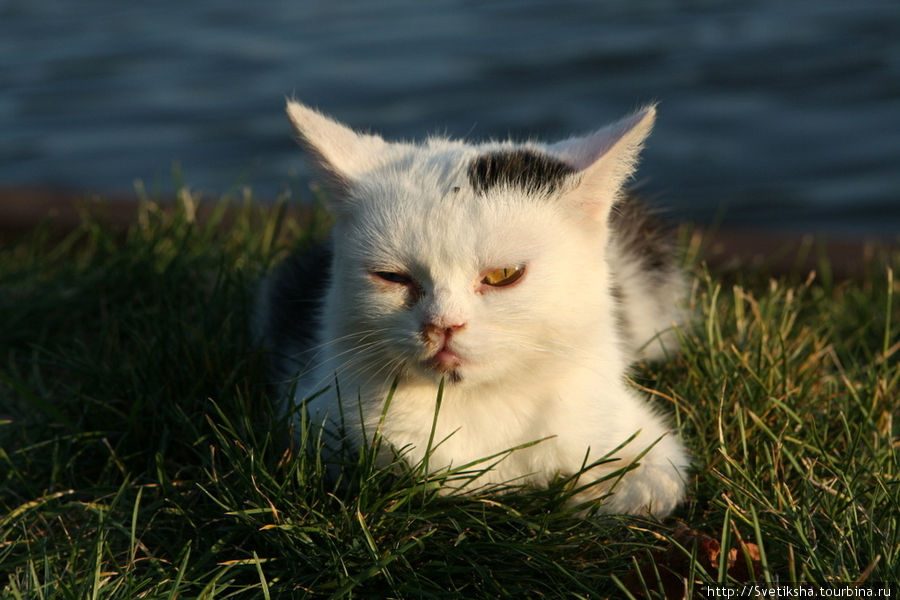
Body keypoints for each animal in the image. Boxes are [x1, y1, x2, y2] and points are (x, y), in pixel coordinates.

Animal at [256, 101, 692, 516]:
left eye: (503, 274)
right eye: (392, 277)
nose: (443, 325)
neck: (475, 406)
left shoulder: (634, 434)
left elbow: (651, 487)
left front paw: (586, 493)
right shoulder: (315, 417)